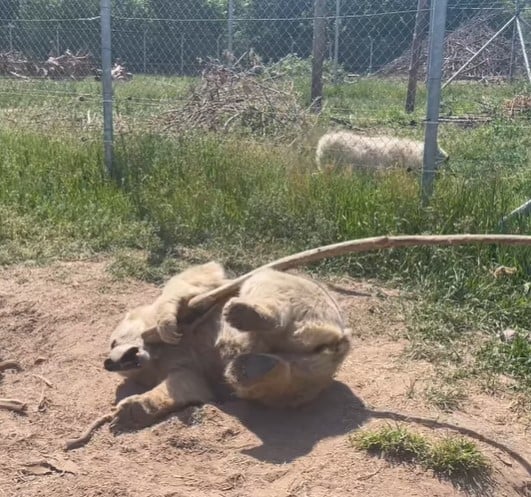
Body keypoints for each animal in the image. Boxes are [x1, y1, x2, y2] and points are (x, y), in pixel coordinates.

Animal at [104, 262, 354, 428]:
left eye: (113, 341)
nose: (108, 363)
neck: (159, 353)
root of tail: (337, 339)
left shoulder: (202, 294)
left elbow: (189, 281)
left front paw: (166, 324)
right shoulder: (183, 364)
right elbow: (187, 383)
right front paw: (129, 411)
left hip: (305, 296)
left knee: (265, 282)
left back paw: (244, 314)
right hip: (310, 374)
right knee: (279, 380)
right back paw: (250, 368)